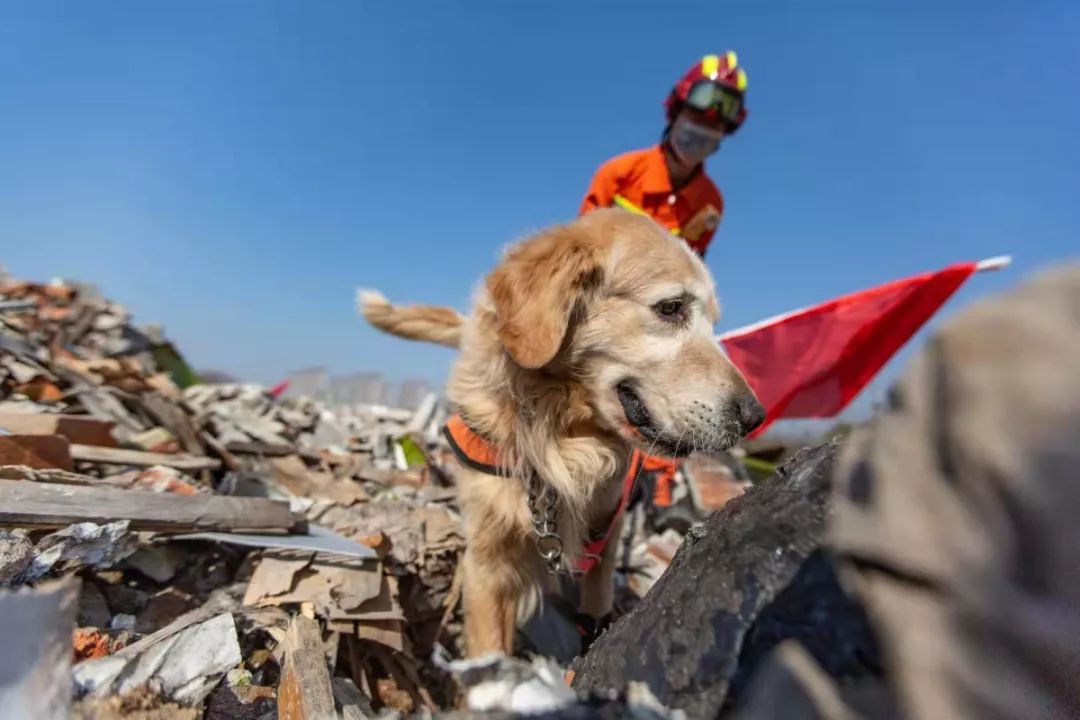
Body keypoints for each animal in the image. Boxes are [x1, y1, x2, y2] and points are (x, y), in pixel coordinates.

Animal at [358, 207, 764, 660]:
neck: (562, 433)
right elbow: (488, 646)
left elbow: (596, 606)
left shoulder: (606, 535)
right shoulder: (487, 560)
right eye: (671, 307)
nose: (755, 417)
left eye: (714, 322)